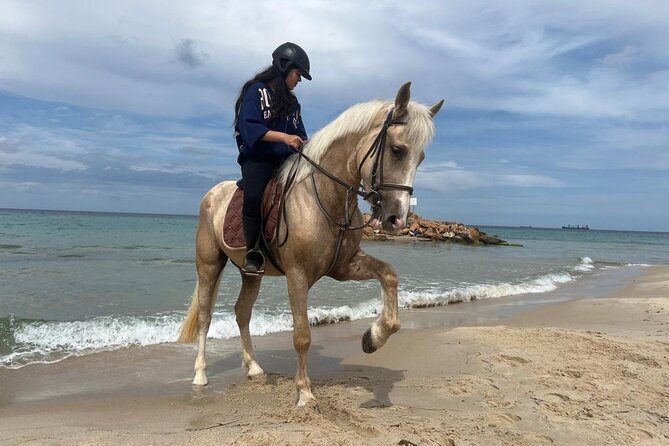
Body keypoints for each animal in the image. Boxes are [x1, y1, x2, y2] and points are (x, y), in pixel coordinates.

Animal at [178, 82, 443, 407]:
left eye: (421, 158)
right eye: (397, 150)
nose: (396, 219)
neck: (323, 198)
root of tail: (212, 193)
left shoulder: (344, 266)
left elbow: (389, 275)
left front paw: (373, 338)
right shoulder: (297, 275)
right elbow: (302, 335)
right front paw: (304, 393)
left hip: (250, 272)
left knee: (242, 312)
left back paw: (254, 368)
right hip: (209, 265)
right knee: (205, 317)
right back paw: (200, 375)